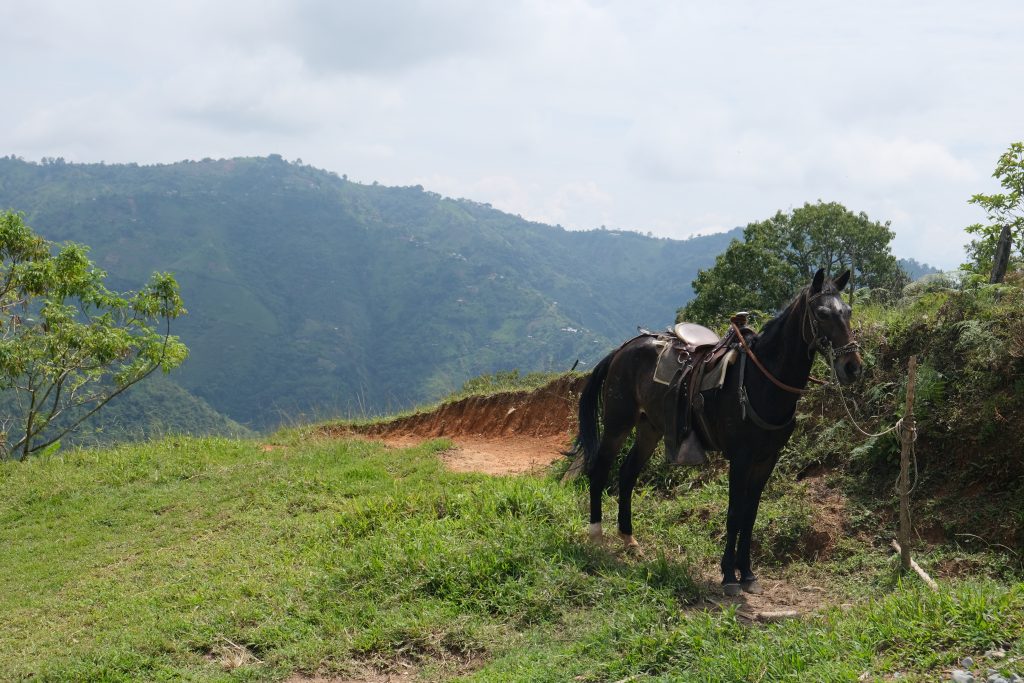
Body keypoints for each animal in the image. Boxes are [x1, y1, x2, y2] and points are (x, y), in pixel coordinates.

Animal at [570, 268, 863, 595]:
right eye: (822, 314)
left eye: (848, 311)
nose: (852, 367)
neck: (761, 380)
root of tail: (623, 349)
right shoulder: (741, 457)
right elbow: (734, 513)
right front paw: (728, 575)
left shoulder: (767, 459)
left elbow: (750, 514)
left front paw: (747, 572)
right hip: (617, 424)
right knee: (600, 470)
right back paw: (597, 535)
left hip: (650, 429)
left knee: (627, 474)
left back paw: (629, 538)